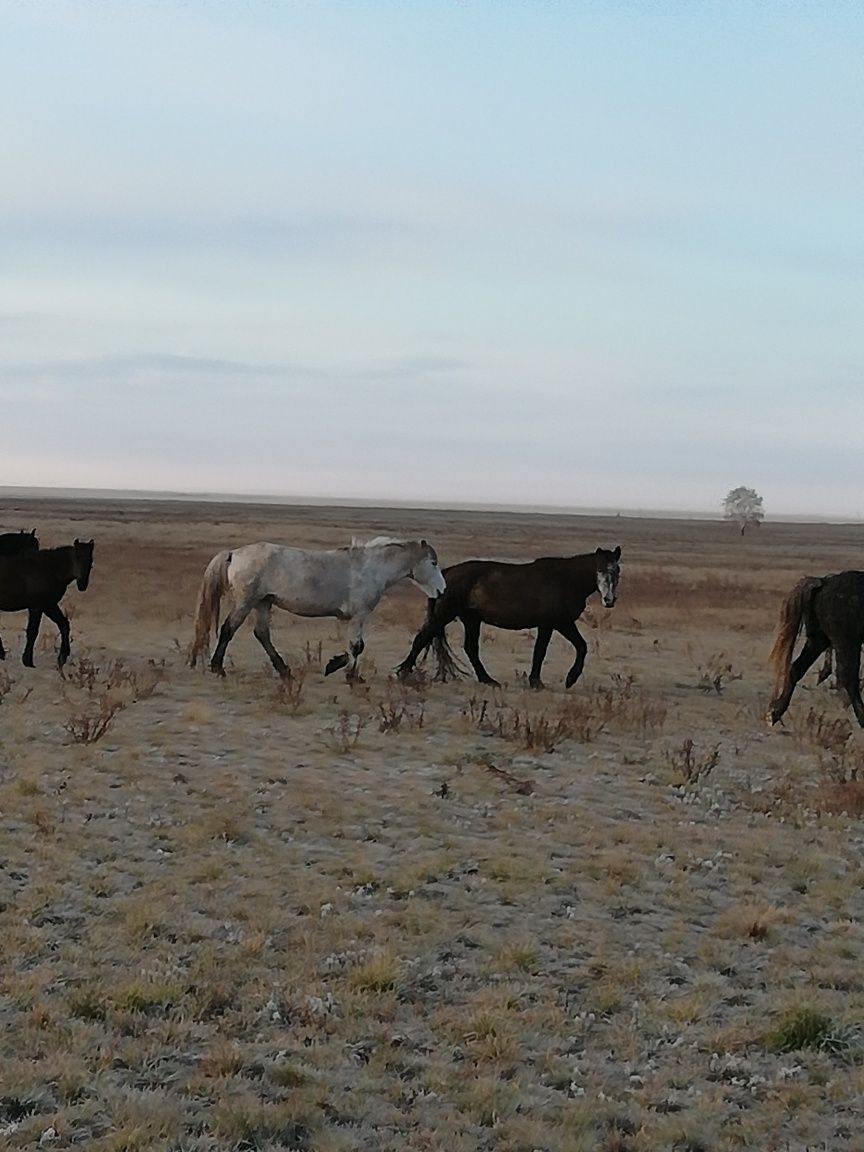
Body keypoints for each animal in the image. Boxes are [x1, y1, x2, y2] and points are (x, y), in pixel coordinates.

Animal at [0, 539, 95, 668]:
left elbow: (64, 624)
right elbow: (32, 632)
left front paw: (62, 657)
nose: (82, 584)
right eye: (77, 557)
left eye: (91, 560)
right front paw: (28, 661)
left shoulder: (49, 605)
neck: (51, 570)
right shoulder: (37, 606)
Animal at [188, 536, 446, 677]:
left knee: (262, 634)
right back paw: (218, 668)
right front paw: (351, 676)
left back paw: (285, 672)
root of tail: (234, 553)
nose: (442, 590)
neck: (370, 568)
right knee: (228, 629)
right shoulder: (359, 615)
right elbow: (357, 647)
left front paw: (335, 666)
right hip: (246, 602)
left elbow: (355, 647)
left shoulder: (352, 618)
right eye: (433, 562)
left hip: (263, 603)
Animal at [398, 546, 622, 686]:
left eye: (617, 570)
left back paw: (488, 680)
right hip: (446, 614)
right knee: (422, 638)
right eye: (600, 569)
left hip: (472, 619)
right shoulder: (556, 623)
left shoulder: (554, 624)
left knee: (470, 648)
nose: (609, 600)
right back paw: (403, 673)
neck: (565, 580)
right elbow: (548, 650)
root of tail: (446, 573)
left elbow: (571, 647)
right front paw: (557, 680)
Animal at [769, 573, 864, 728]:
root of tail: (824, 582)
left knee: (796, 668)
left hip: (819, 640)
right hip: (847, 642)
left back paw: (774, 713)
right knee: (849, 678)